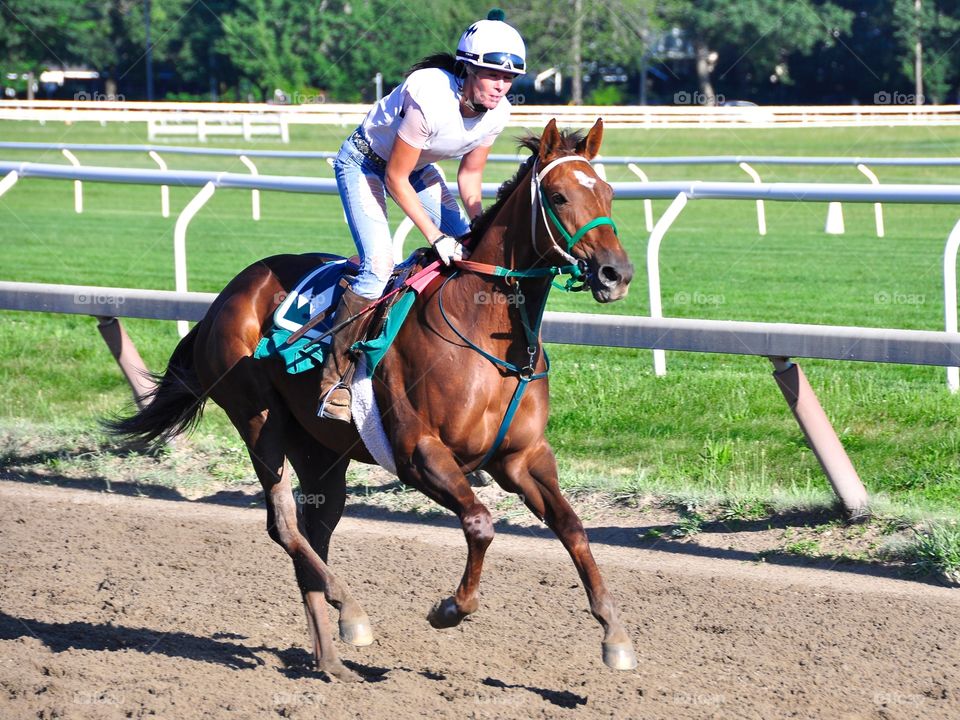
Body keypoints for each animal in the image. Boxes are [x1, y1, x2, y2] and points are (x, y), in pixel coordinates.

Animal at [109, 118, 636, 680]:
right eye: (558, 196)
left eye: (608, 192)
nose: (616, 274)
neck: (484, 329)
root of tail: (224, 298)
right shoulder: (418, 454)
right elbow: (480, 524)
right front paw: (450, 607)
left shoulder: (522, 457)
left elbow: (573, 527)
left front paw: (615, 635)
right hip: (258, 419)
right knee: (283, 525)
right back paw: (352, 611)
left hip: (319, 451)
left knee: (314, 530)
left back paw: (331, 659)